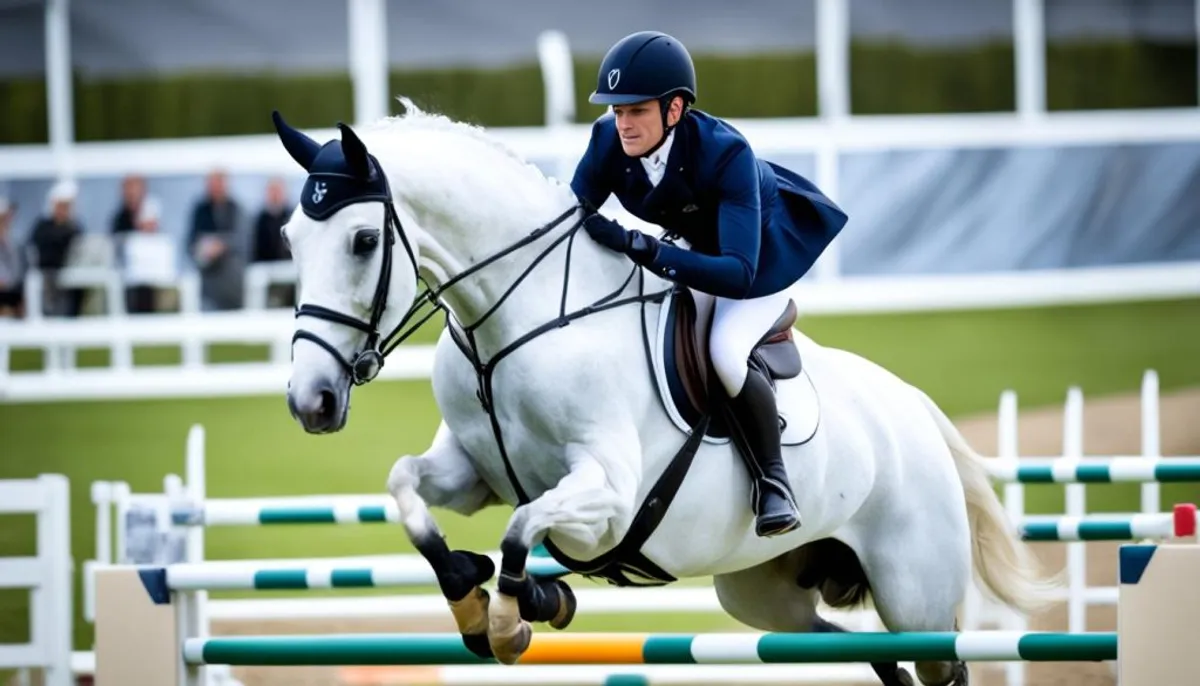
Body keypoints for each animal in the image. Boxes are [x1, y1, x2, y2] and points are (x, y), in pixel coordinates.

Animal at [274, 100, 1060, 686]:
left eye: (363, 241)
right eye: (288, 239)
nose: (311, 402)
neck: (520, 319)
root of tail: (914, 408)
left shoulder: (610, 497)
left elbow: (525, 527)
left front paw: (521, 609)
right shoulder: (472, 473)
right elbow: (409, 493)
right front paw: (473, 593)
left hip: (914, 590)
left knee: (936, 663)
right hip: (764, 596)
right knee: (860, 653)